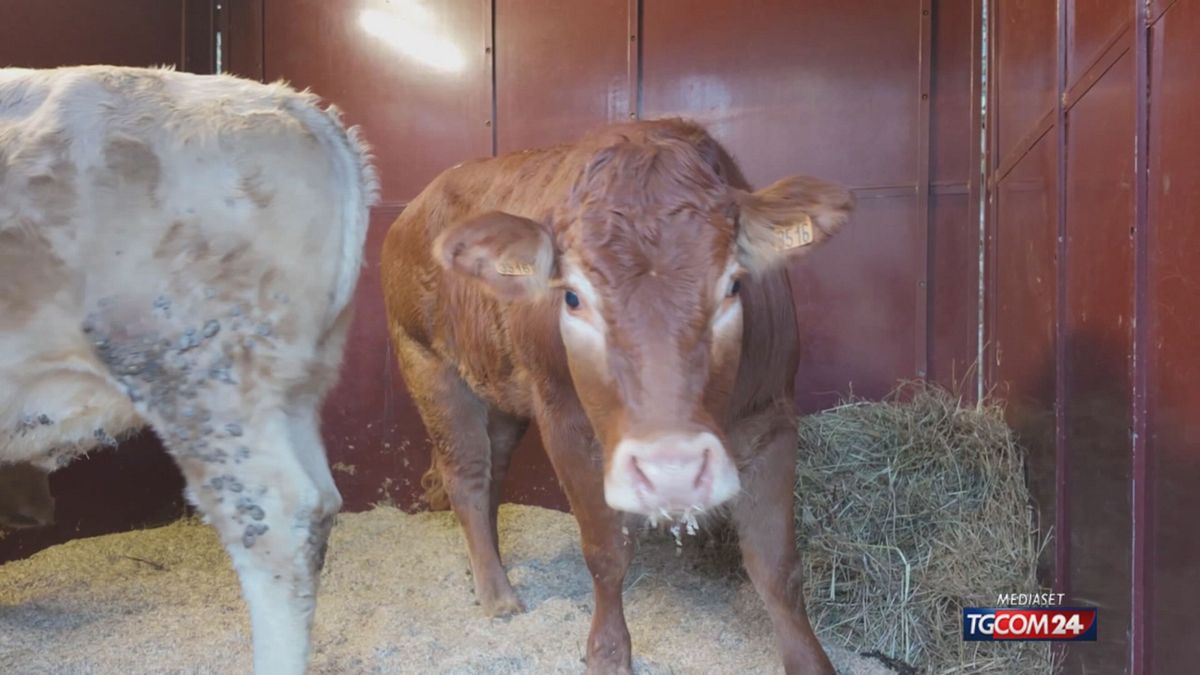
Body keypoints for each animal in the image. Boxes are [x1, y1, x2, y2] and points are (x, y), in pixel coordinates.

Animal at [381, 119, 852, 674]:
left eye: (734, 285)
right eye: (571, 296)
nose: (672, 470)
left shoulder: (773, 416)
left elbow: (777, 567)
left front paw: (810, 661)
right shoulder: (564, 420)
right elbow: (605, 552)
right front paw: (607, 655)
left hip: (501, 390)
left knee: (494, 470)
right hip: (427, 362)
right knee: (468, 475)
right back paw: (497, 594)